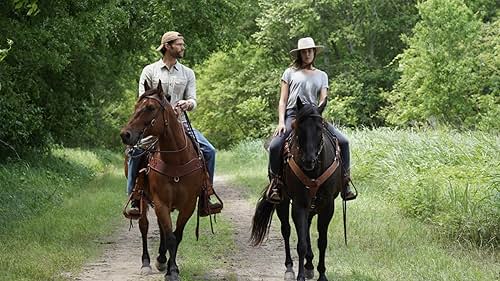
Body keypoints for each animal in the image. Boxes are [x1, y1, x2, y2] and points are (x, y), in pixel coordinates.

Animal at [120, 80, 206, 278]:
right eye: (136, 105)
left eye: (150, 107)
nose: (125, 135)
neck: (176, 159)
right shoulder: (161, 203)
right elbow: (170, 237)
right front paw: (171, 271)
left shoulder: (189, 205)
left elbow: (176, 235)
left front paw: (171, 267)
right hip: (143, 199)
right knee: (144, 226)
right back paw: (147, 263)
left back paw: (161, 258)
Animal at [250, 97, 344, 280]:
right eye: (299, 127)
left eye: (320, 128)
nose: (308, 160)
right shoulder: (299, 204)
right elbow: (301, 243)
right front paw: (300, 275)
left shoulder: (328, 205)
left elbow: (322, 241)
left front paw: (322, 274)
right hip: (283, 201)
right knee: (286, 230)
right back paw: (290, 268)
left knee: (307, 228)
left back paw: (310, 264)